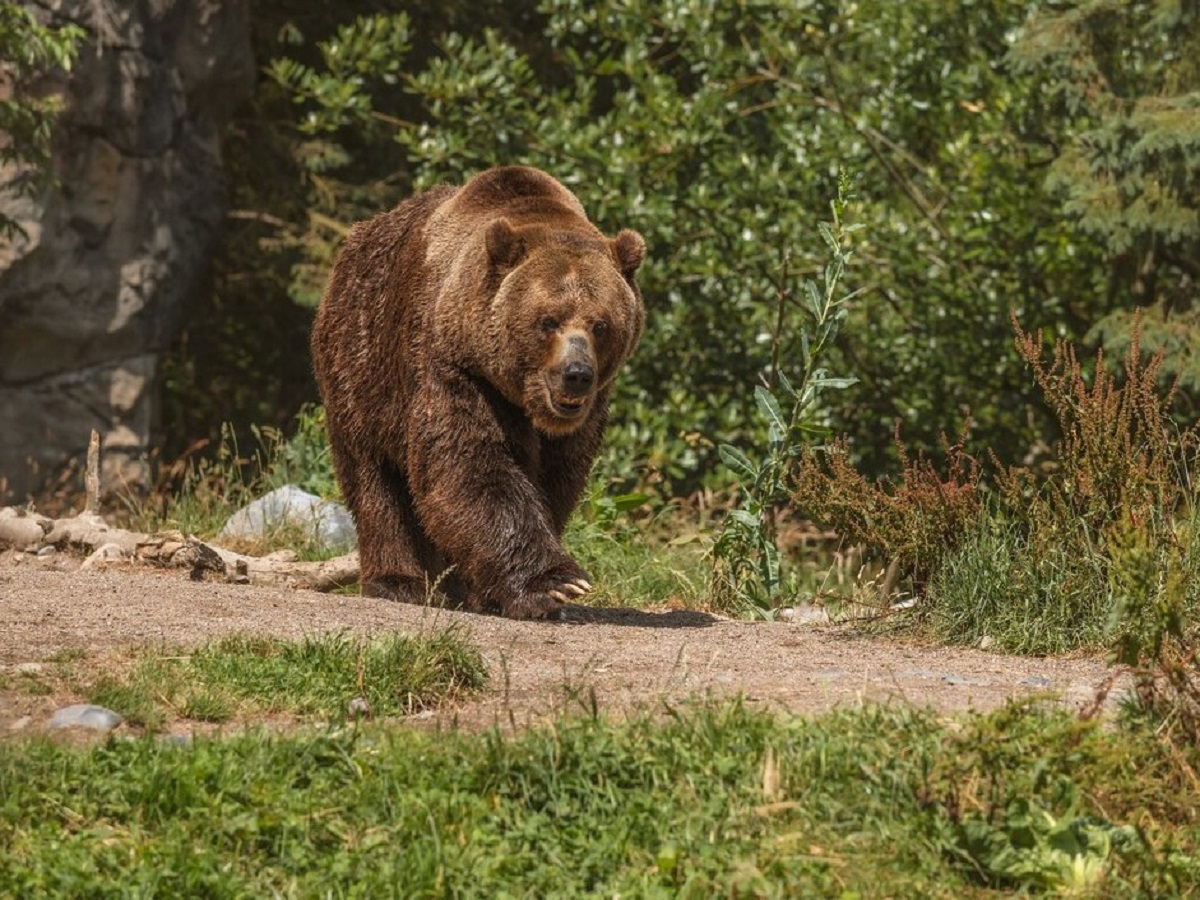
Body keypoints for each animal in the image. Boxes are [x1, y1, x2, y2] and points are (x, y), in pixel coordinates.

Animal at [312, 165, 648, 619]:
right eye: (548, 320)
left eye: (601, 324)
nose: (576, 374)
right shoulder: (456, 368)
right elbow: (471, 466)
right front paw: (555, 583)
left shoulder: (582, 417)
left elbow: (556, 479)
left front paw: (494, 591)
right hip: (361, 363)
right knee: (375, 479)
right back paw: (398, 581)